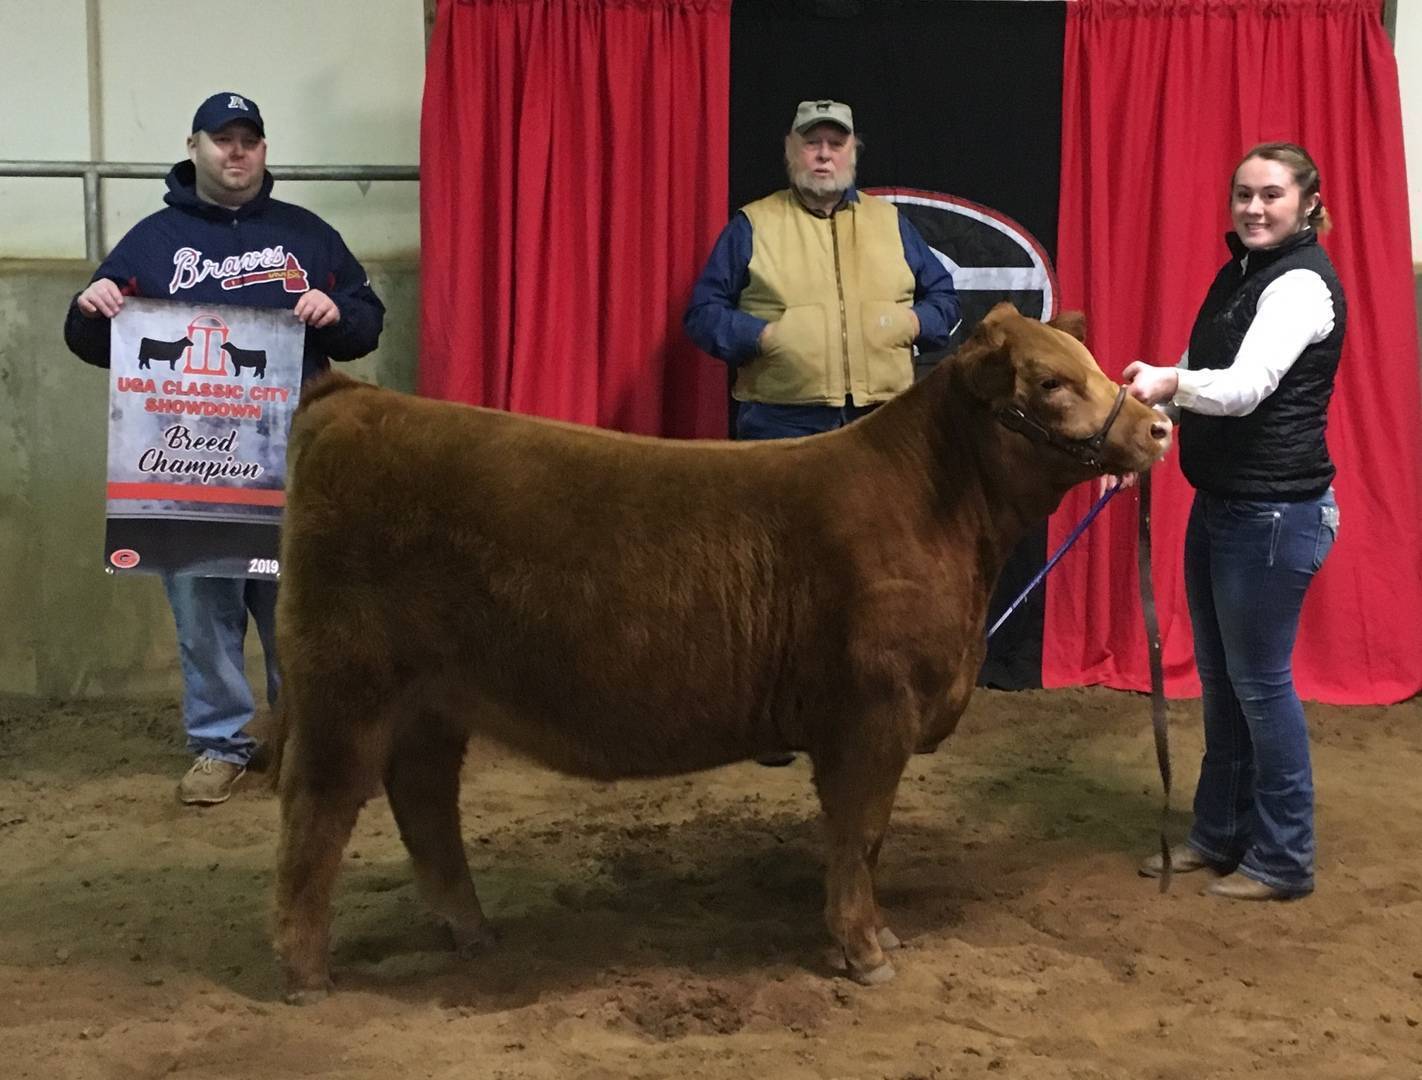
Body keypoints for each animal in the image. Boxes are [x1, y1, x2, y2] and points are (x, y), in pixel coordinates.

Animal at [268, 303, 1172, 1003]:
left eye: (1093, 367)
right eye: (1051, 384)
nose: (1159, 427)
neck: (936, 510)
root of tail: (351, 401)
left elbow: (867, 839)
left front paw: (878, 935)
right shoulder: (872, 713)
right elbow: (859, 833)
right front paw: (863, 951)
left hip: (432, 700)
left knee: (423, 801)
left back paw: (472, 931)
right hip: (343, 682)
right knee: (318, 809)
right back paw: (307, 973)